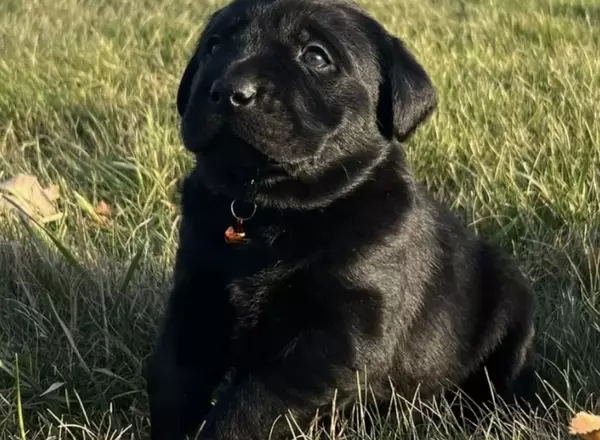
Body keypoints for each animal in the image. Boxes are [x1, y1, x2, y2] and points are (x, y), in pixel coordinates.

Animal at [144, 0, 536, 438]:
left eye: (315, 56)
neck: (269, 211)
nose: (229, 91)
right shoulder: (197, 295)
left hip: (510, 303)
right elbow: (173, 377)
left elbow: (251, 404)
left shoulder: (340, 334)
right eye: (213, 46)